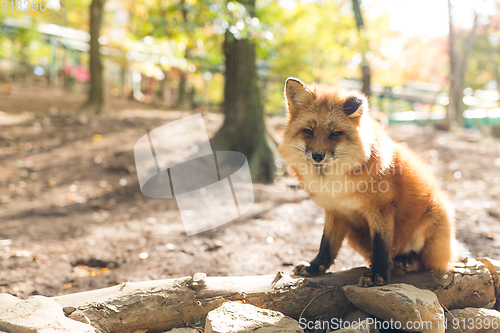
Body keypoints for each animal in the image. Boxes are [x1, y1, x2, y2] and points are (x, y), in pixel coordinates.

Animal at [278, 78, 458, 286]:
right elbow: (327, 245)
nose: (317, 156)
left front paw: (378, 275)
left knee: (428, 262)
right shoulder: (335, 210)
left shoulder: (381, 208)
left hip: (435, 216)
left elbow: (381, 246)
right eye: (308, 131)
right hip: (354, 235)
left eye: (335, 133)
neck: (334, 186)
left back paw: (407, 261)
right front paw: (315, 267)